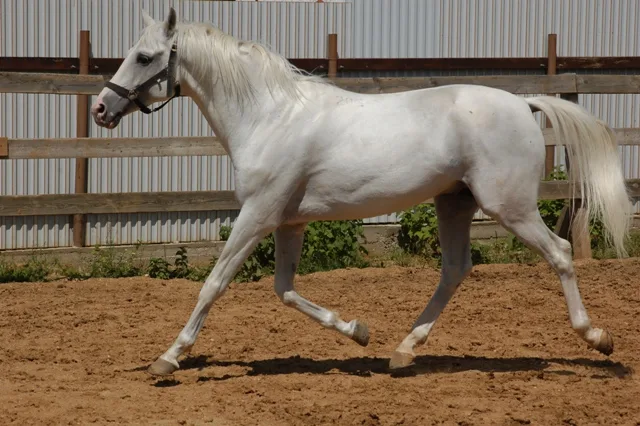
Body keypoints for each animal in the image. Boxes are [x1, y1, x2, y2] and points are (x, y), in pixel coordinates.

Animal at [91, 8, 632, 376]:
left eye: (144, 57)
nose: (100, 108)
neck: (270, 117)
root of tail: (524, 104)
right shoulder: (289, 221)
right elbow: (285, 290)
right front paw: (358, 332)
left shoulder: (258, 215)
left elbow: (214, 283)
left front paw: (168, 357)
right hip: (454, 202)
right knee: (455, 269)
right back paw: (403, 351)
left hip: (509, 207)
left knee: (559, 253)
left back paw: (597, 338)